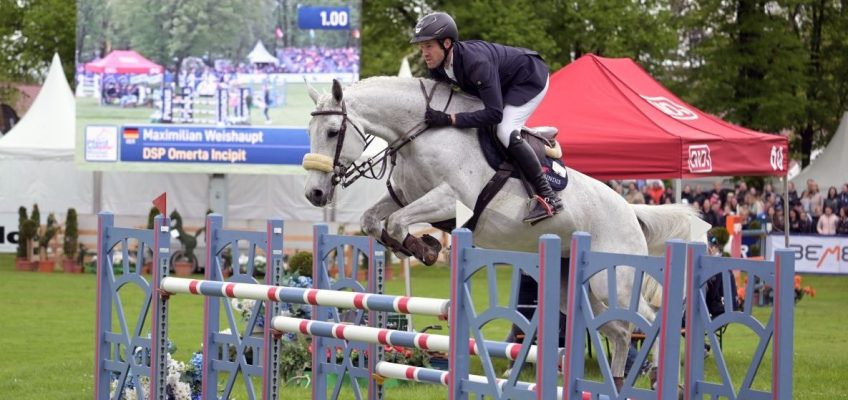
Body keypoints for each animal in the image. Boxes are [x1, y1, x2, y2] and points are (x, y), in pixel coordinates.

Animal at [302, 76, 700, 390]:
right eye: (310, 132)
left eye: (333, 132)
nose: (314, 194)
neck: (421, 133)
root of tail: (631, 210)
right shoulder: (403, 195)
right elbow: (373, 219)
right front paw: (413, 247)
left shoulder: (449, 199)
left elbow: (399, 221)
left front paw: (426, 248)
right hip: (575, 288)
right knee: (620, 330)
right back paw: (616, 382)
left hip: (614, 279)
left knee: (649, 319)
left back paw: (660, 378)